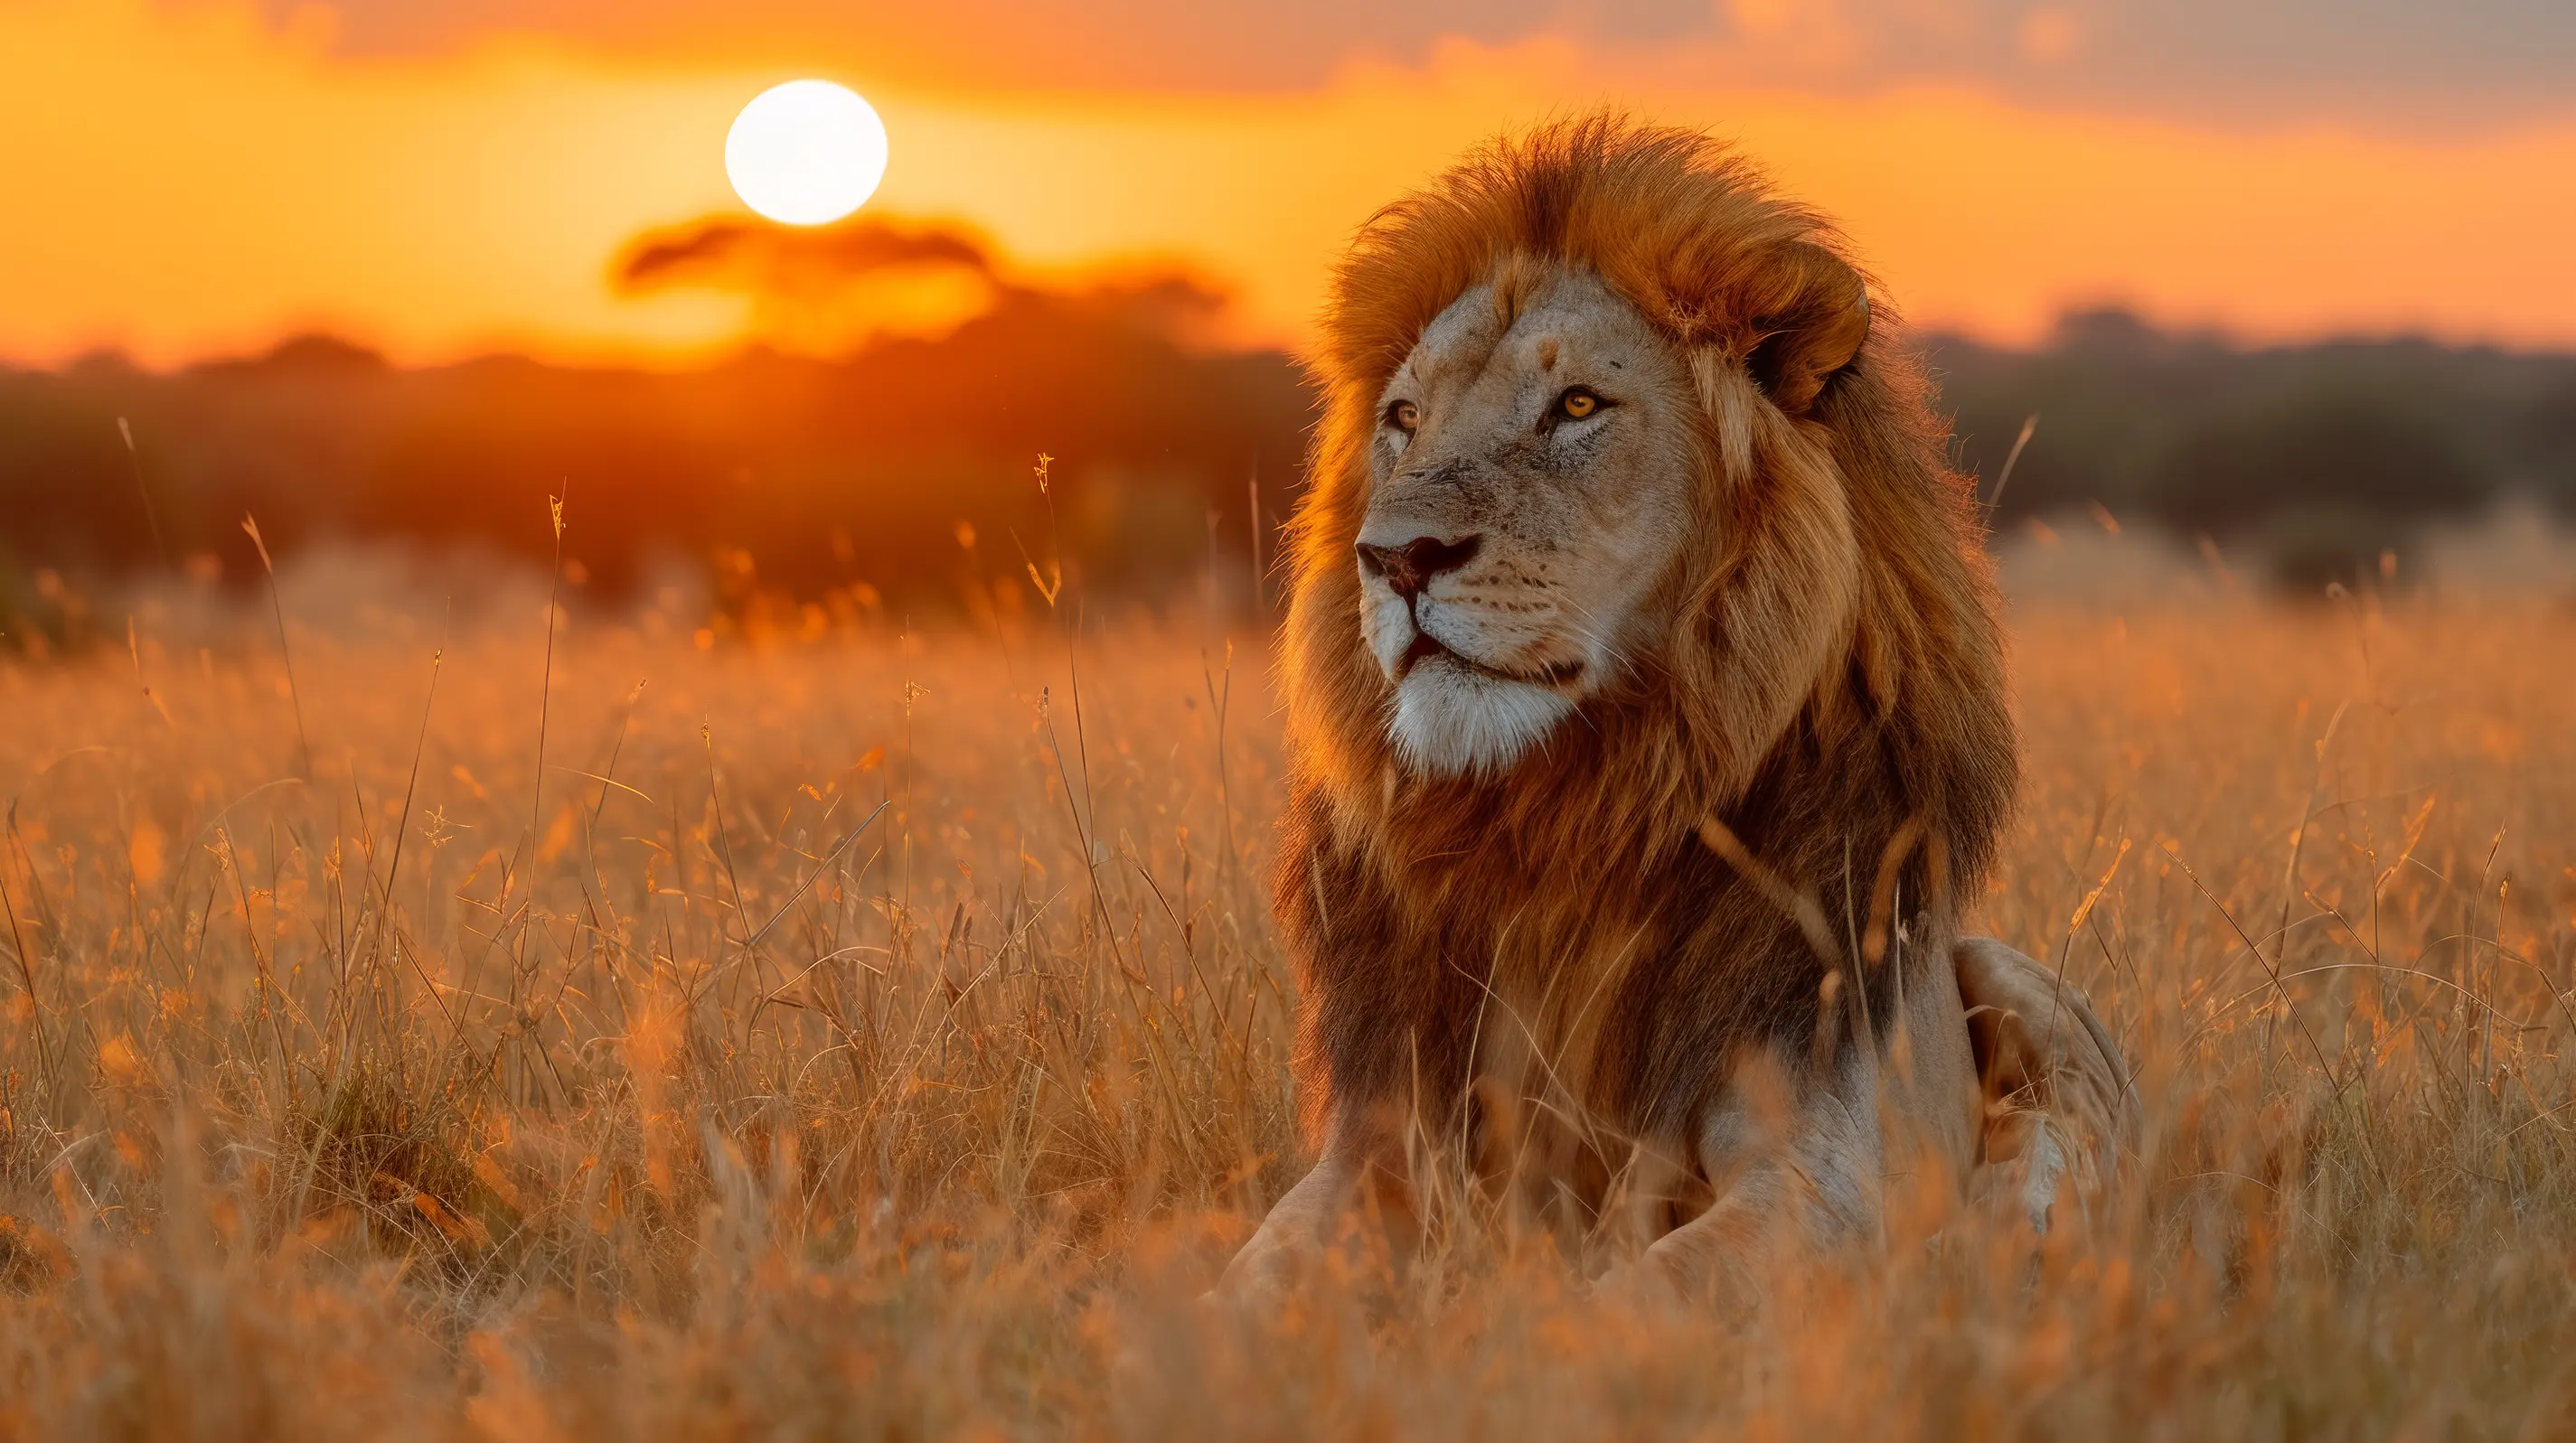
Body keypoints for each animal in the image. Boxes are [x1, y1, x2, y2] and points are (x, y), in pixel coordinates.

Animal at [1214, 117, 2132, 1308]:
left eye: (1577, 406)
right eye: (1404, 419)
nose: (1395, 556)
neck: (1563, 822)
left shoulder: (1822, 1171)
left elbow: (1639, 1299)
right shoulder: (1379, 1150)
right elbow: (1245, 1287)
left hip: (2024, 985)